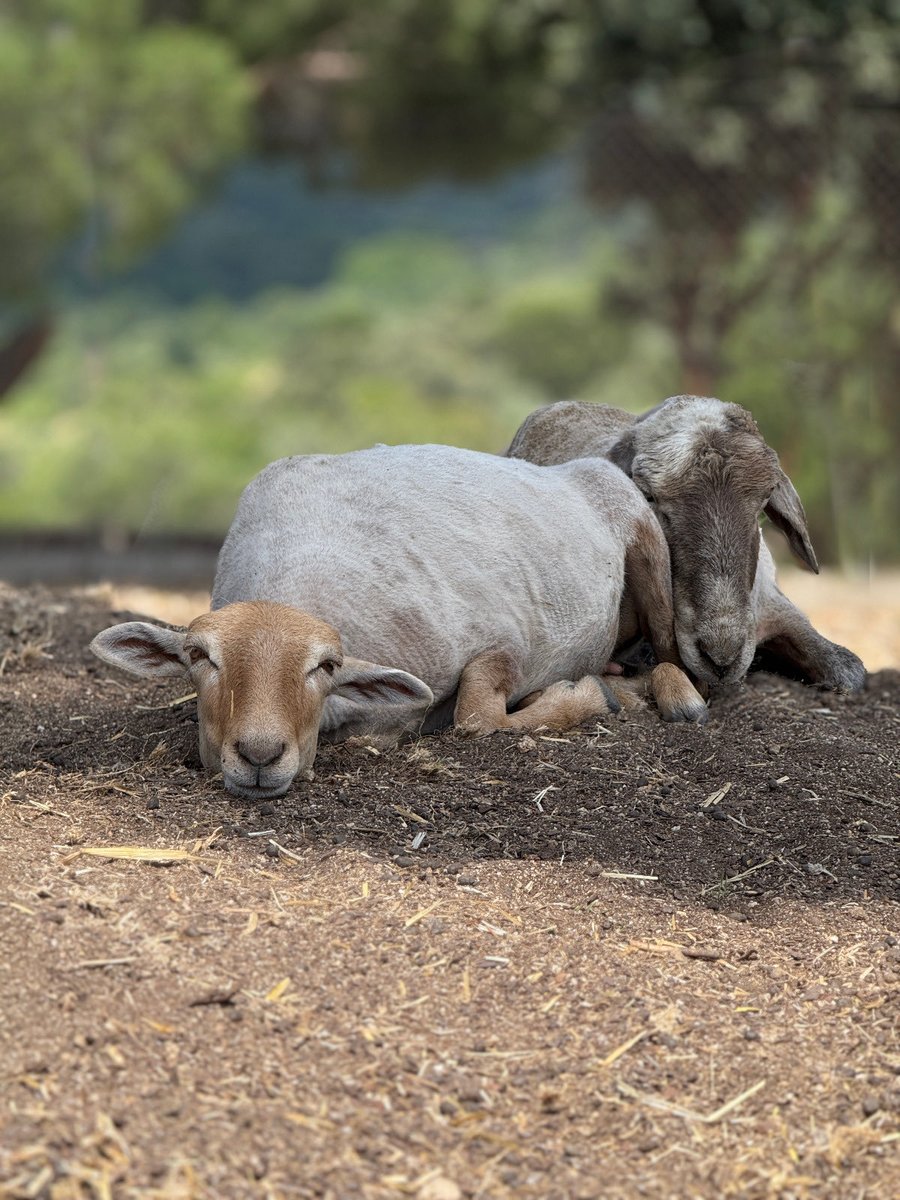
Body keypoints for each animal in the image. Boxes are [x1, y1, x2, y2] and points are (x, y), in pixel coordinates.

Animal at [91, 443, 707, 800]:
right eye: (200, 657)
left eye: (326, 665)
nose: (260, 756)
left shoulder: (504, 640)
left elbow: (477, 718)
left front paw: (585, 696)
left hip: (649, 547)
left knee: (671, 654)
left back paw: (662, 696)